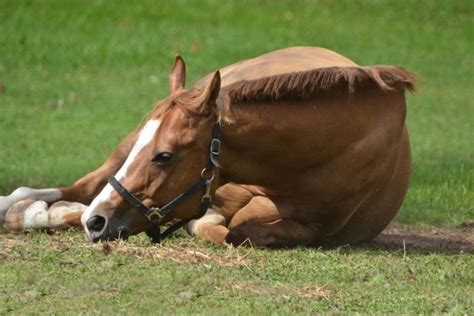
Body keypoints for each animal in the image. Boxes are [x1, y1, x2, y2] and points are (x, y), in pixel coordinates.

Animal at [0, 47, 414, 249]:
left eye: (165, 156)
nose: (97, 222)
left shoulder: (313, 229)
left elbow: (235, 231)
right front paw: (41, 213)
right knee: (80, 188)